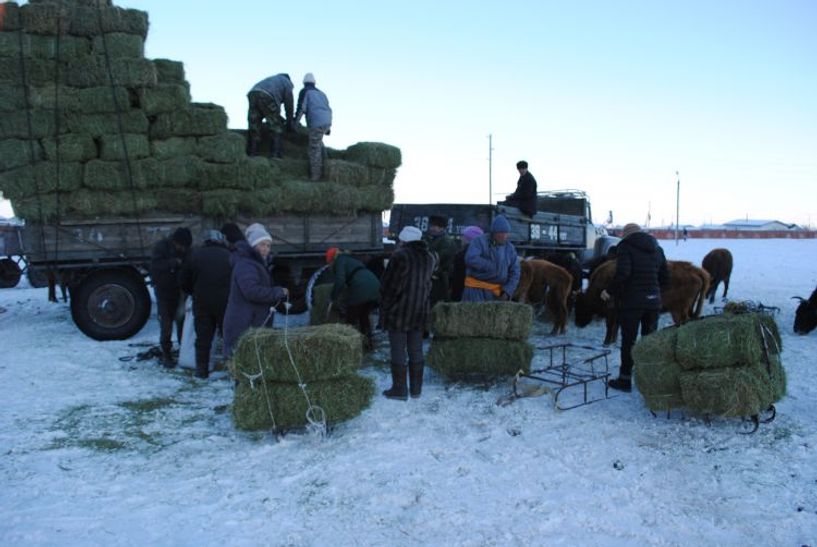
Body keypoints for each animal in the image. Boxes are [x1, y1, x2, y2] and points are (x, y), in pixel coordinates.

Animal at [572, 260, 708, 344]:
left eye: (580, 305)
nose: (577, 323)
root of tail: (695, 270)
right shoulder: (619, 313)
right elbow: (616, 327)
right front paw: (612, 341)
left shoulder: (611, 311)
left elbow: (610, 326)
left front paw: (606, 342)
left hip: (678, 311)